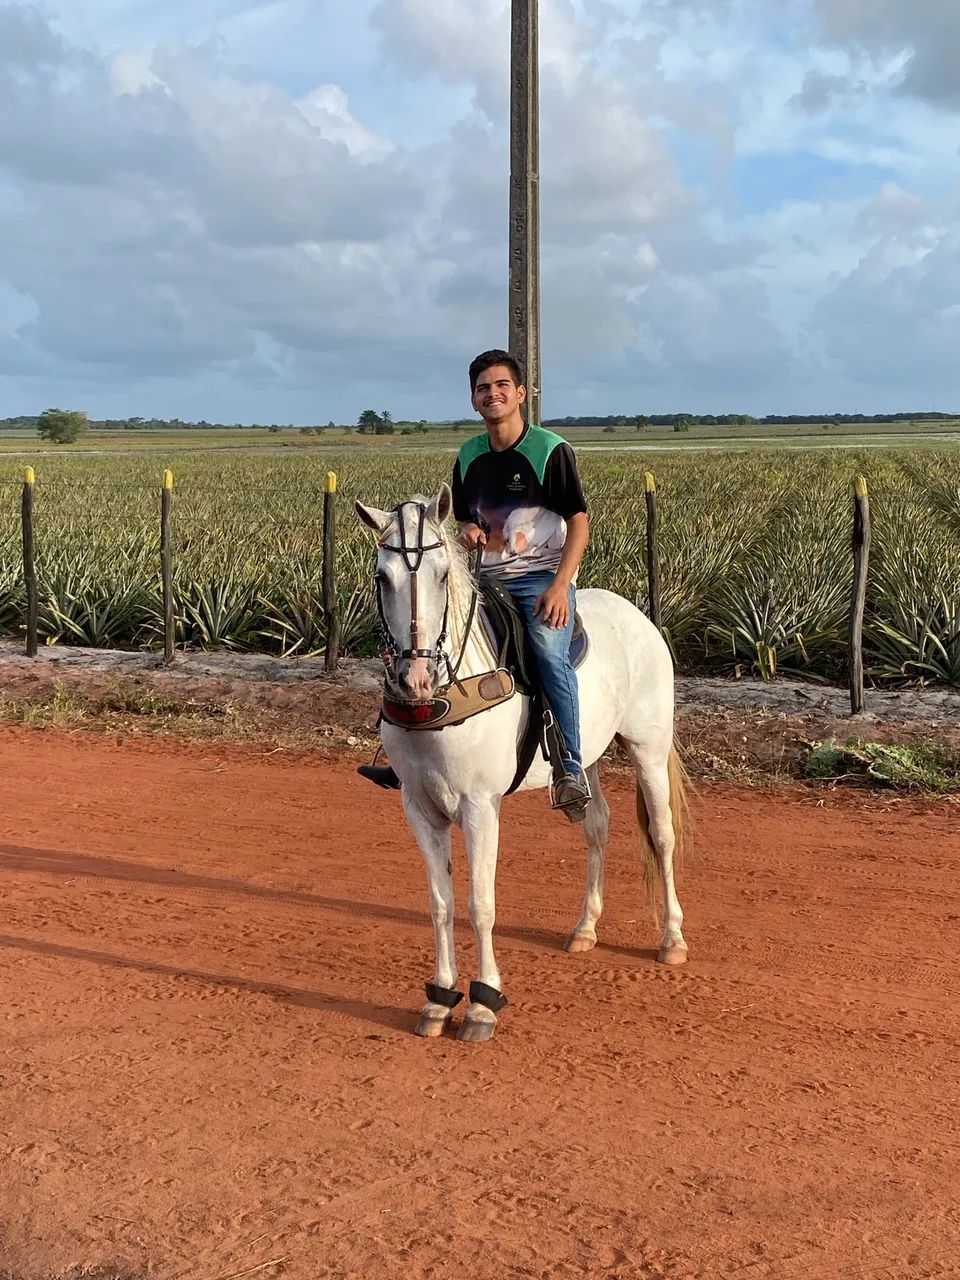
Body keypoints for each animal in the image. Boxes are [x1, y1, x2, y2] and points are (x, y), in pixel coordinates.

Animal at [356, 483, 688, 1042]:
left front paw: (483, 1003)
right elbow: (441, 904)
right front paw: (439, 998)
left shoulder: (479, 807)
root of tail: (636, 614)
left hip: (648, 745)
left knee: (661, 835)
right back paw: (585, 928)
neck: (448, 692)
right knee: (597, 826)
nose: (414, 678)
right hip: (586, 755)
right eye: (383, 577)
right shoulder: (418, 808)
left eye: (442, 574)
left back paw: (672, 939)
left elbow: (480, 905)